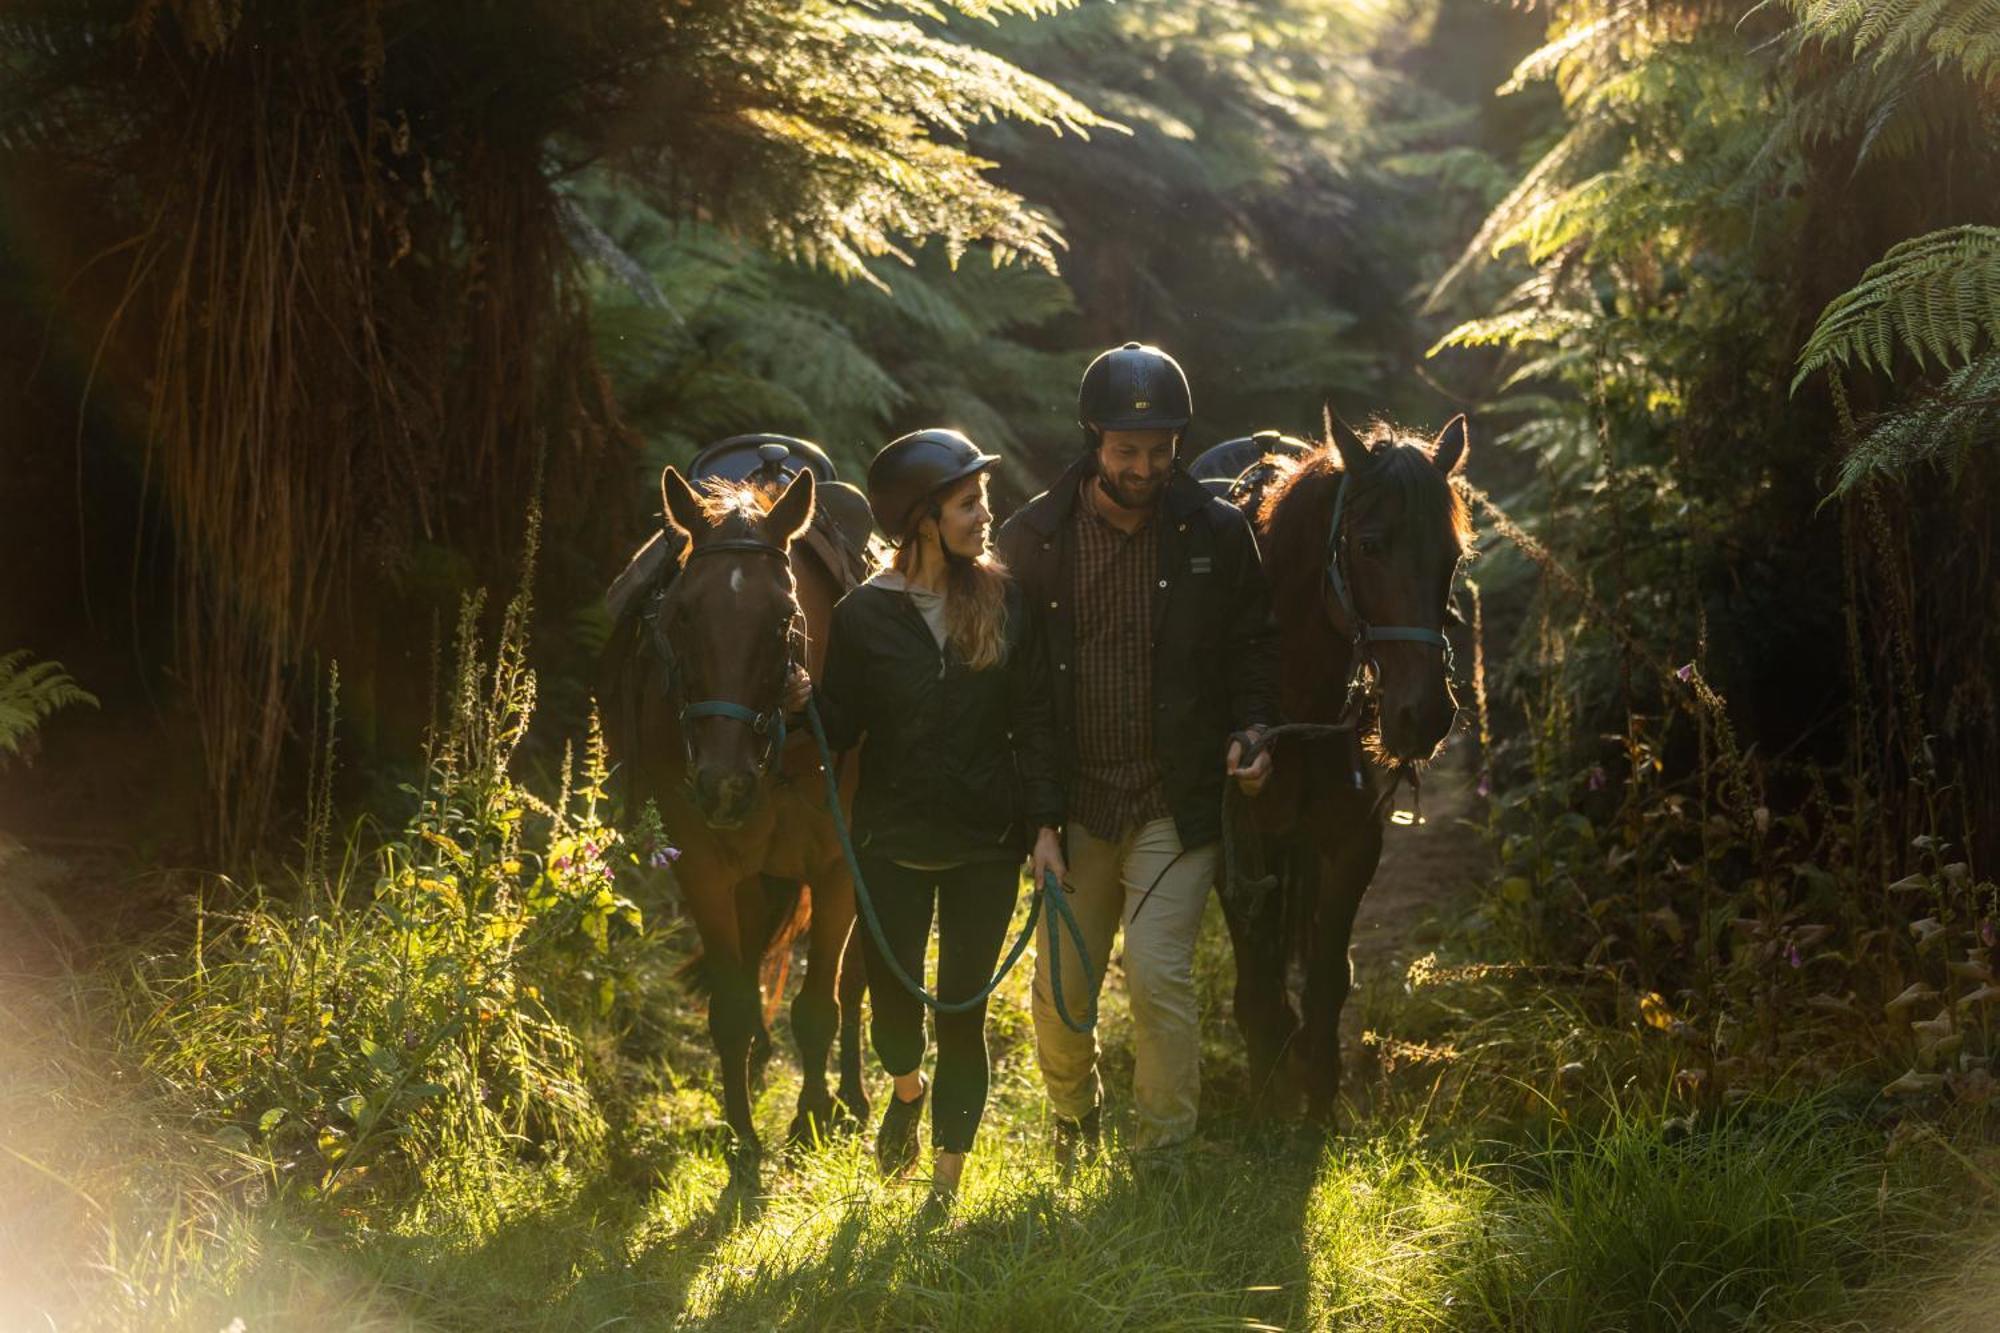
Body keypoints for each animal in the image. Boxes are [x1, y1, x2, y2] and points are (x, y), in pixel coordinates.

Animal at [600, 464, 868, 1176]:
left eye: (784, 620)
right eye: (681, 615)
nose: (724, 785)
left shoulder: (838, 869)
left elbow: (820, 1004)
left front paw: (811, 1120)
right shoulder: (704, 867)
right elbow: (732, 1006)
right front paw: (742, 1138)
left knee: (859, 980)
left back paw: (855, 1099)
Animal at [1208, 410, 1480, 1112]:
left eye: (1453, 556)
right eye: (1369, 546)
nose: (1425, 716)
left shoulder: (1352, 843)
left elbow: (1328, 979)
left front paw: (1317, 1101)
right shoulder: (1234, 849)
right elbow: (1258, 993)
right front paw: (1268, 1102)